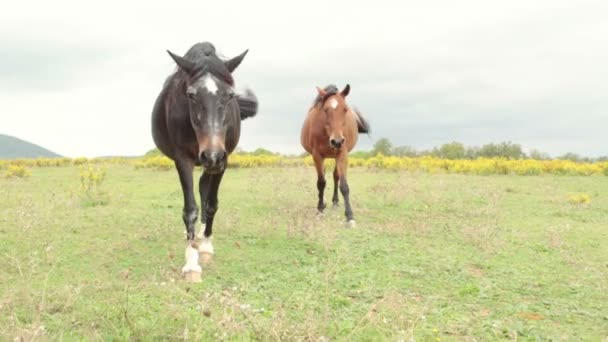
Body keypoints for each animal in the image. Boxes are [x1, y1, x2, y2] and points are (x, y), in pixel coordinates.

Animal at [153, 42, 258, 282]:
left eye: (230, 95)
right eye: (191, 95)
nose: (212, 155)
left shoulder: (223, 159)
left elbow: (211, 203)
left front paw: (207, 246)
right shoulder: (183, 159)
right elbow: (190, 209)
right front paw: (192, 263)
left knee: (204, 187)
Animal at [300, 84, 370, 226]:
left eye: (345, 109)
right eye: (325, 110)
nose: (337, 141)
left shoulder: (342, 154)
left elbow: (344, 185)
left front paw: (350, 216)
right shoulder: (317, 156)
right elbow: (321, 183)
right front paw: (320, 209)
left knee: (335, 176)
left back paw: (335, 202)